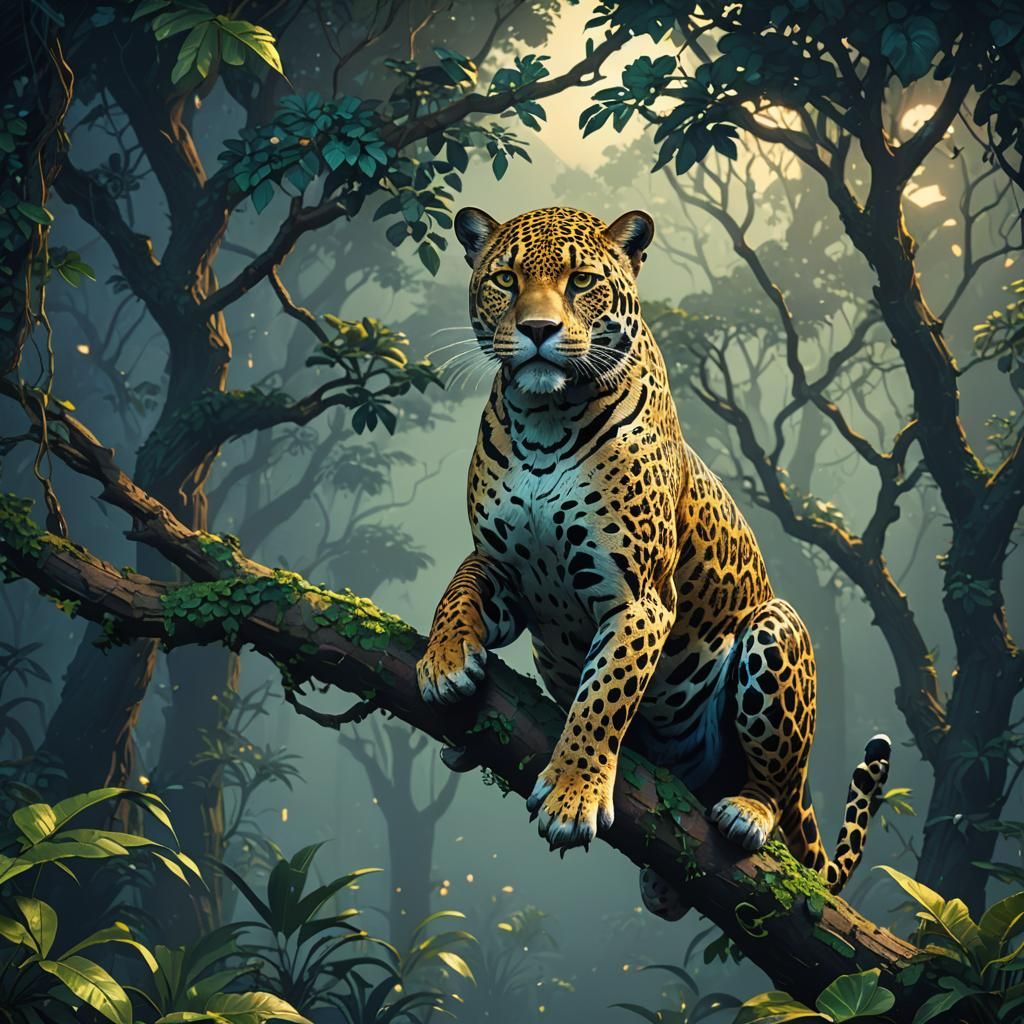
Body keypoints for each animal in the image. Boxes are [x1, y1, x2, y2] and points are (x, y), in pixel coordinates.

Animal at [417, 205, 891, 918]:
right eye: (505, 279)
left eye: (581, 281)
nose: (536, 330)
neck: (544, 419)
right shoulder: (501, 570)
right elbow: (459, 588)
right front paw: (444, 660)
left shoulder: (638, 598)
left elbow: (603, 698)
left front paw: (573, 795)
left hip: (777, 632)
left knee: (776, 786)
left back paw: (748, 811)